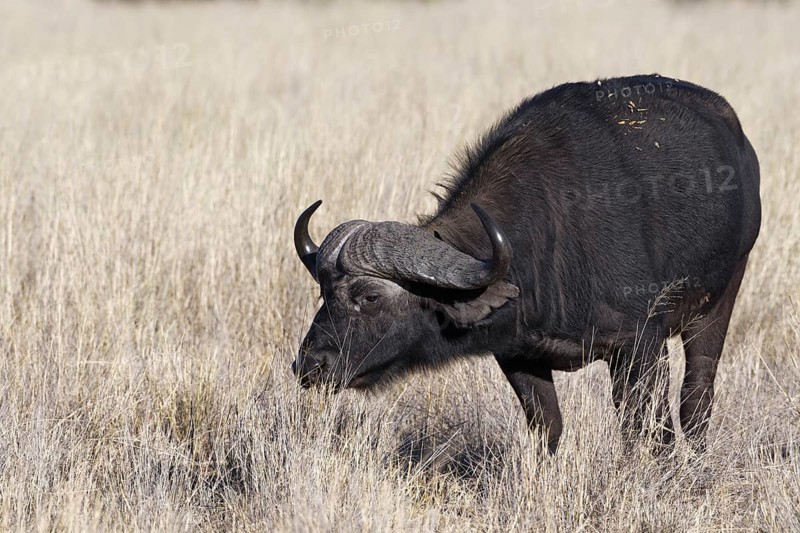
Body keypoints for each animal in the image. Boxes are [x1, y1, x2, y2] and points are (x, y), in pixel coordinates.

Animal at [292, 74, 761, 453]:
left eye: (369, 296)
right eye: (322, 293)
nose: (310, 365)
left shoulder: (641, 344)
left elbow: (652, 430)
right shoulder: (518, 356)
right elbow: (547, 428)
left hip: (719, 300)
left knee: (696, 398)